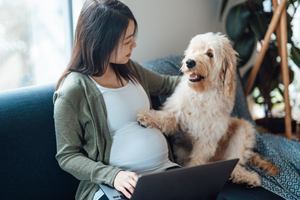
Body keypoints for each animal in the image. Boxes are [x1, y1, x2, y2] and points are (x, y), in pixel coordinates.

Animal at [138, 32, 278, 187]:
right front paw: (146, 116)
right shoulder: (178, 116)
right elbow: (165, 118)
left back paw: (247, 177)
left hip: (244, 129)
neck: (202, 94)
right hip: (181, 149)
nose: (189, 62)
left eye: (210, 54)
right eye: (194, 51)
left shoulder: (207, 138)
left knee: (236, 162)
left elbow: (198, 159)